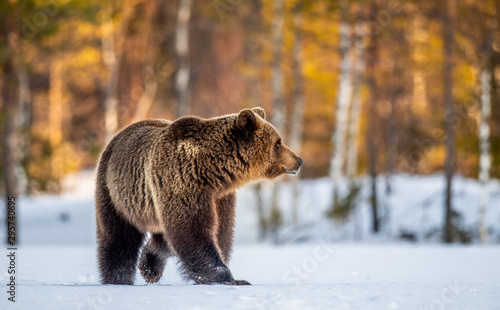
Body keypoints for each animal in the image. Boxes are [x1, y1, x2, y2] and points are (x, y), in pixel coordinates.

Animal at [95, 107, 302, 286]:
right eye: (278, 142)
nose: (299, 160)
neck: (211, 171)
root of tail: (117, 136)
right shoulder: (182, 182)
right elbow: (193, 230)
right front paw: (228, 278)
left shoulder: (220, 197)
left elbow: (220, 232)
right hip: (116, 194)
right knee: (118, 239)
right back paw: (118, 278)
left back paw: (150, 267)